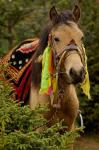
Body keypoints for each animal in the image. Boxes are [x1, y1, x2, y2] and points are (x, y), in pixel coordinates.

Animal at [0, 5, 89, 133]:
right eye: (56, 38)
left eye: (81, 37)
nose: (77, 72)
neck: (59, 98)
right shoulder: (39, 129)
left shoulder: (69, 129)